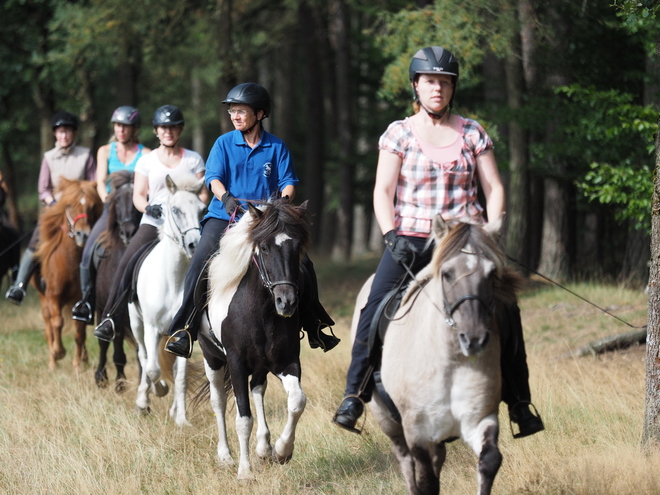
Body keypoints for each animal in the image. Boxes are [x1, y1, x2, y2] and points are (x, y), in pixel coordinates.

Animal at [33, 180, 102, 370]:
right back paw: (53, 362)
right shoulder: (53, 296)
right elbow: (57, 322)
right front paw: (58, 352)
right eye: (69, 205)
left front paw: (78, 364)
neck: (69, 262)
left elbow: (79, 332)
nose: (83, 235)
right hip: (43, 299)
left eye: (92, 206)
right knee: (49, 326)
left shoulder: (80, 300)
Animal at [197, 198, 310, 480]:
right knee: (218, 401)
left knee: (258, 390)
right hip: (211, 357)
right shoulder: (236, 363)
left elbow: (297, 401)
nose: (286, 302)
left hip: (260, 364)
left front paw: (282, 451)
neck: (262, 312)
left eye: (297, 246)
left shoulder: (286, 361)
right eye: (265, 248)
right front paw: (245, 472)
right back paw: (225, 455)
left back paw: (264, 447)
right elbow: (243, 418)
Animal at [354, 216, 524, 495]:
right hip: (387, 419)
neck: (449, 362)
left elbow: (489, 460)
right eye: (447, 274)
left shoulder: (479, 419)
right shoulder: (417, 431)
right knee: (405, 461)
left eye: (491, 274)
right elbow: (425, 480)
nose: (474, 338)